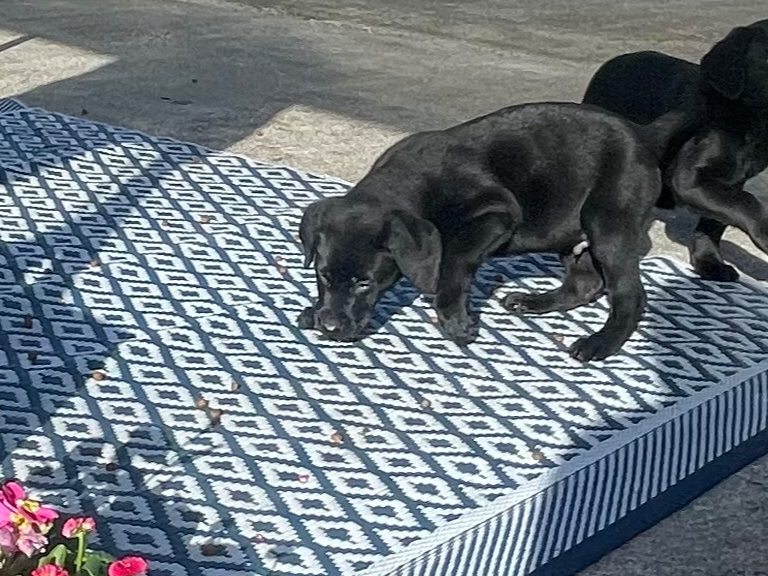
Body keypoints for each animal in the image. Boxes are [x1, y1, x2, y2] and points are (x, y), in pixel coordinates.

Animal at [296, 100, 676, 360]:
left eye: (365, 283)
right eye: (323, 275)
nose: (330, 328)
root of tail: (643, 133)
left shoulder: (497, 213)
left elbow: (454, 258)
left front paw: (454, 319)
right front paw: (315, 310)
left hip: (608, 224)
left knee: (629, 294)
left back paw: (601, 343)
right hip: (574, 231)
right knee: (584, 283)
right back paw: (533, 301)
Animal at [584, 21, 768, 282]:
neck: (748, 119)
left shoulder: (730, 181)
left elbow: (715, 222)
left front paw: (709, 263)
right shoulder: (688, 179)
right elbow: (748, 203)